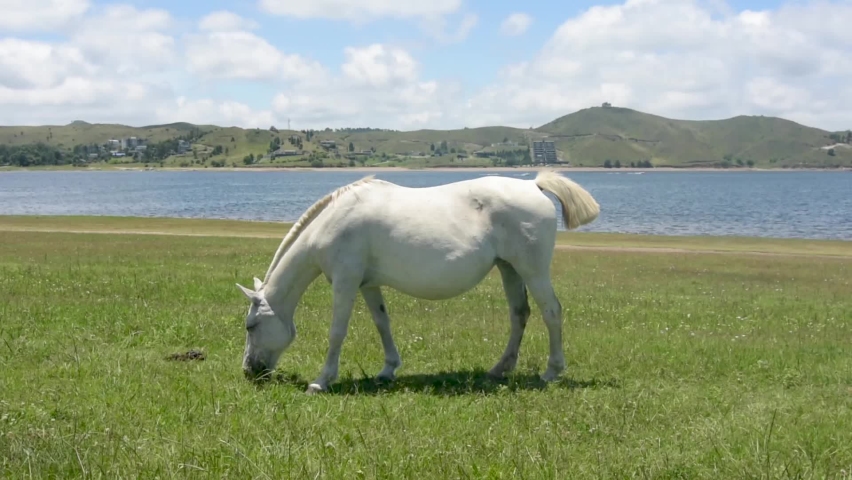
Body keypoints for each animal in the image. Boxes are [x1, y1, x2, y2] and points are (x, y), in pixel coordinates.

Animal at [236, 169, 600, 394]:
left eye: (251, 326)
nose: (249, 370)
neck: (332, 222)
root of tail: (533, 185)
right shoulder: (367, 284)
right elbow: (382, 323)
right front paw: (387, 370)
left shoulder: (345, 281)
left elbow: (337, 331)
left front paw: (322, 381)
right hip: (509, 268)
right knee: (519, 314)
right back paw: (500, 368)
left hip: (532, 269)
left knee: (551, 312)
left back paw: (551, 371)